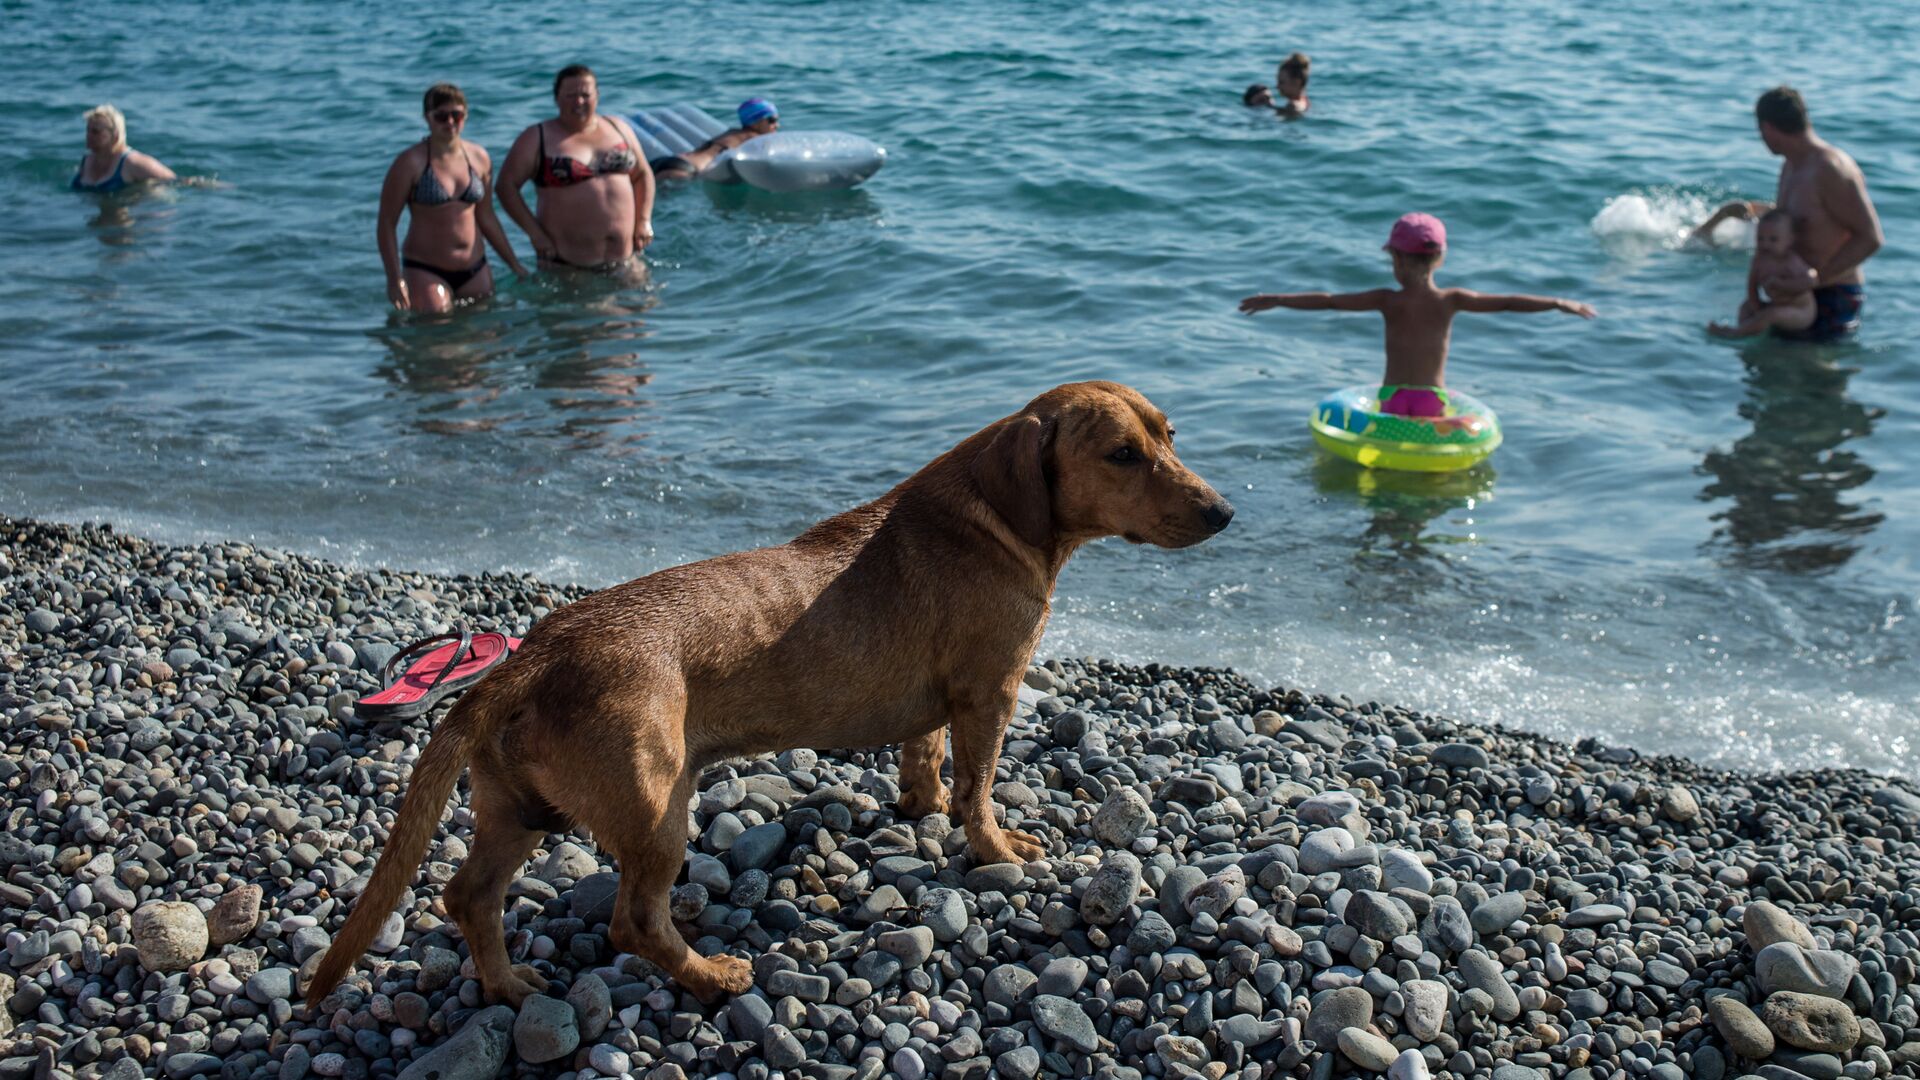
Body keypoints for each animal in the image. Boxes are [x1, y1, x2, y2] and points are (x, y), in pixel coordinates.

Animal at [299, 378, 1228, 999]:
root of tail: (528, 658)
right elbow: (980, 790)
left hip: (517, 809)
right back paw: (711, 975)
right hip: (656, 805)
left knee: (469, 895)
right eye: (1121, 455)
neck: (999, 518)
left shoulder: (942, 706)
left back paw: (506, 989)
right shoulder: (990, 695)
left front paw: (920, 807)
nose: (1224, 513)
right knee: (634, 920)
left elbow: (924, 759)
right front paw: (996, 850)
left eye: (1171, 435)